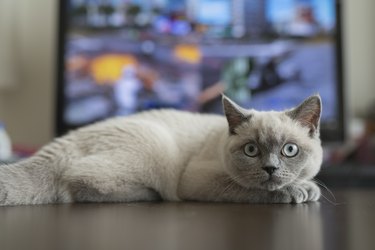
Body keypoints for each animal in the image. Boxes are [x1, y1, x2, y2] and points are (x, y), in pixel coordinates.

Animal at [0, 94, 324, 205]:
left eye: (290, 150)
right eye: (251, 151)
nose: (270, 168)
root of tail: (63, 140)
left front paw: (307, 187)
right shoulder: (198, 179)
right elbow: (251, 190)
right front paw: (300, 191)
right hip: (157, 144)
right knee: (78, 183)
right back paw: (151, 195)